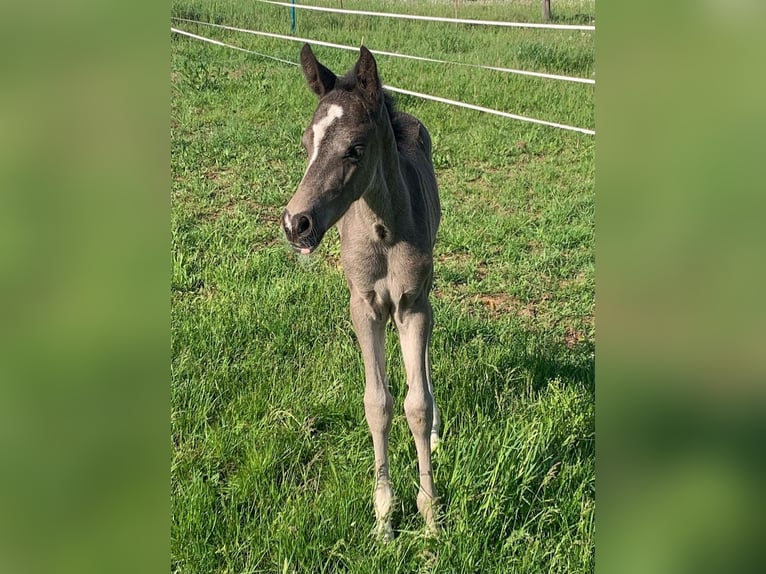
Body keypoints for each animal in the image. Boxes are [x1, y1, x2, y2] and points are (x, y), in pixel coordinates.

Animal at [282, 45, 440, 540]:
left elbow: (416, 405)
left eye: (355, 148)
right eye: (306, 144)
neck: (384, 231)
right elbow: (377, 403)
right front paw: (385, 516)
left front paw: (430, 515)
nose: (295, 223)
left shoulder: (412, 304)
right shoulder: (364, 307)